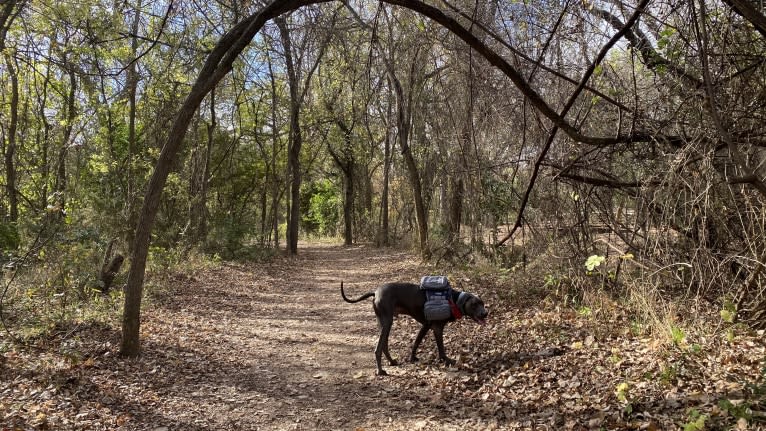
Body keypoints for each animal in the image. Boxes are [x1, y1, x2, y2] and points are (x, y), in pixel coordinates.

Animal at [344, 282, 492, 376]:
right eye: (474, 304)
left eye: (482, 303)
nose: (485, 313)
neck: (453, 300)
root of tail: (375, 292)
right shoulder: (437, 328)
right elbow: (441, 348)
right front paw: (446, 360)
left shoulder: (425, 326)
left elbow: (416, 342)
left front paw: (412, 358)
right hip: (387, 322)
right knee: (378, 348)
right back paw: (380, 371)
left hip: (383, 322)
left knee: (384, 345)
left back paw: (392, 362)